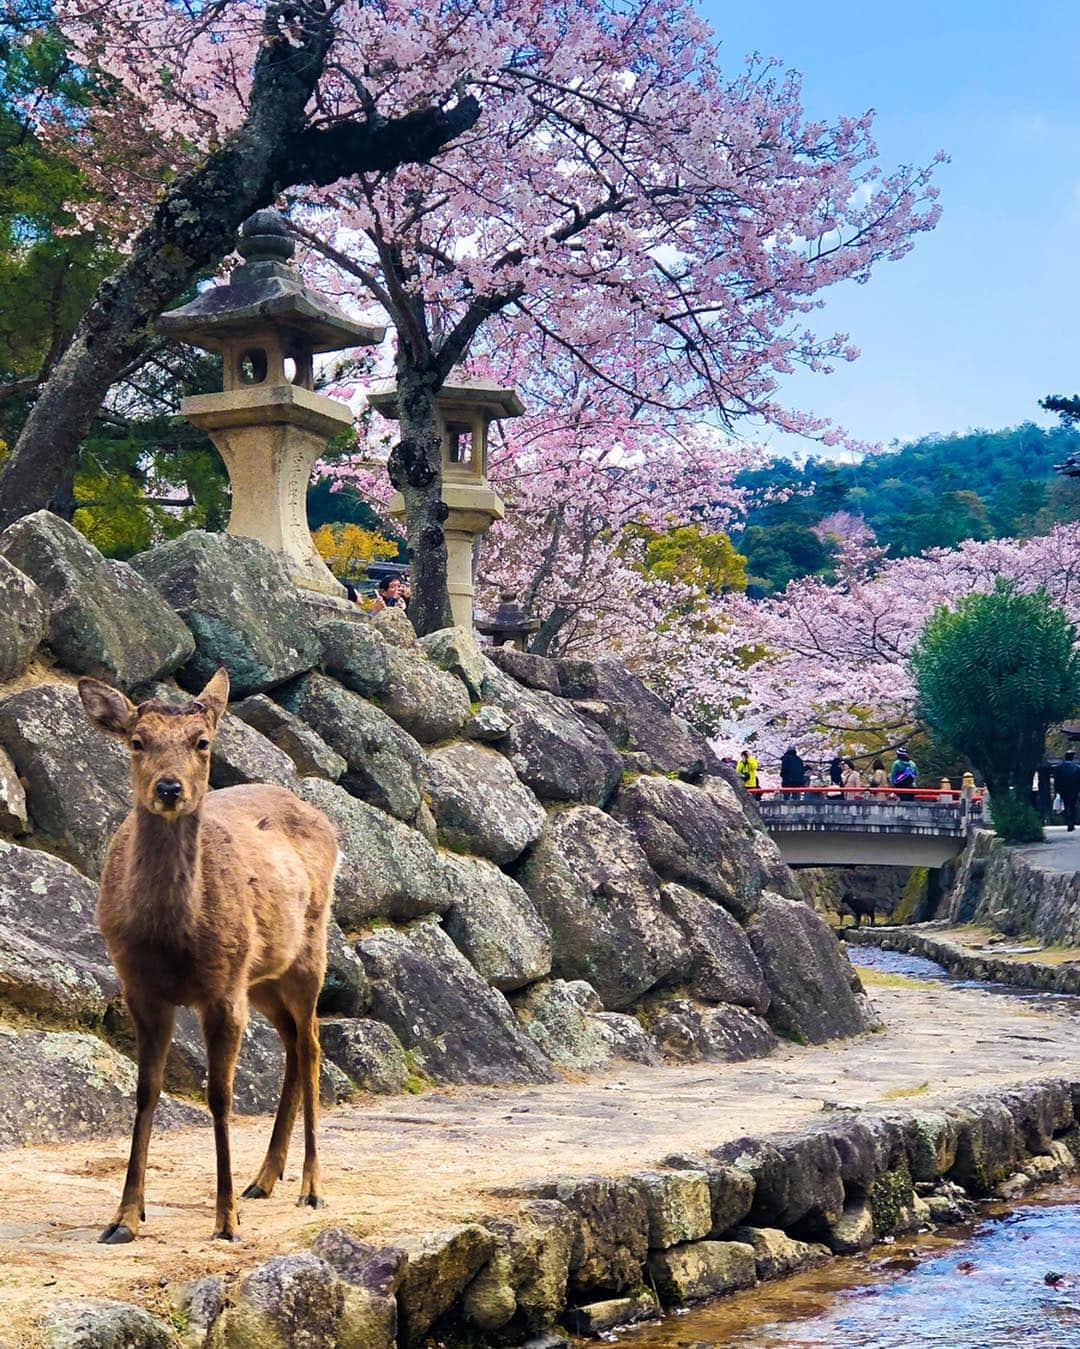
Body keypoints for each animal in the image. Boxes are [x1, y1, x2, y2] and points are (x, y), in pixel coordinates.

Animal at [77, 669, 337, 1246]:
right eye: (137, 741)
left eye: (202, 742)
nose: (169, 788)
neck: (174, 939)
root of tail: (322, 816)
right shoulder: (140, 989)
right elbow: (145, 1091)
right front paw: (124, 1217)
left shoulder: (222, 990)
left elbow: (220, 1095)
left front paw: (226, 1221)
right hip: (262, 976)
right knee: (292, 1041)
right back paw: (264, 1178)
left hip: (309, 951)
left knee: (311, 1042)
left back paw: (311, 1186)